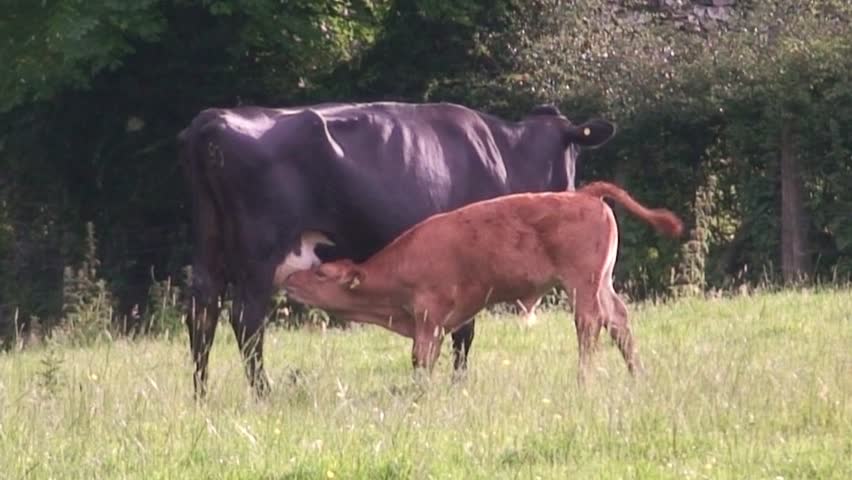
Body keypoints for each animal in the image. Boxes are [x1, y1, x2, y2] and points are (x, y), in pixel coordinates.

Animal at [177, 101, 616, 397]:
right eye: (575, 151)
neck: (506, 154)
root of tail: (213, 120)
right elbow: (465, 330)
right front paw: (458, 384)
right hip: (259, 255)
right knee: (245, 320)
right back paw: (263, 393)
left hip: (209, 249)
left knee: (202, 313)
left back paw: (201, 393)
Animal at [283, 182, 683, 384]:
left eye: (320, 273)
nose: (289, 278)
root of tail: (583, 194)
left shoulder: (428, 317)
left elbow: (421, 358)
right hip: (602, 281)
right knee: (618, 319)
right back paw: (638, 375)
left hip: (581, 283)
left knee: (590, 324)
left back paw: (583, 379)